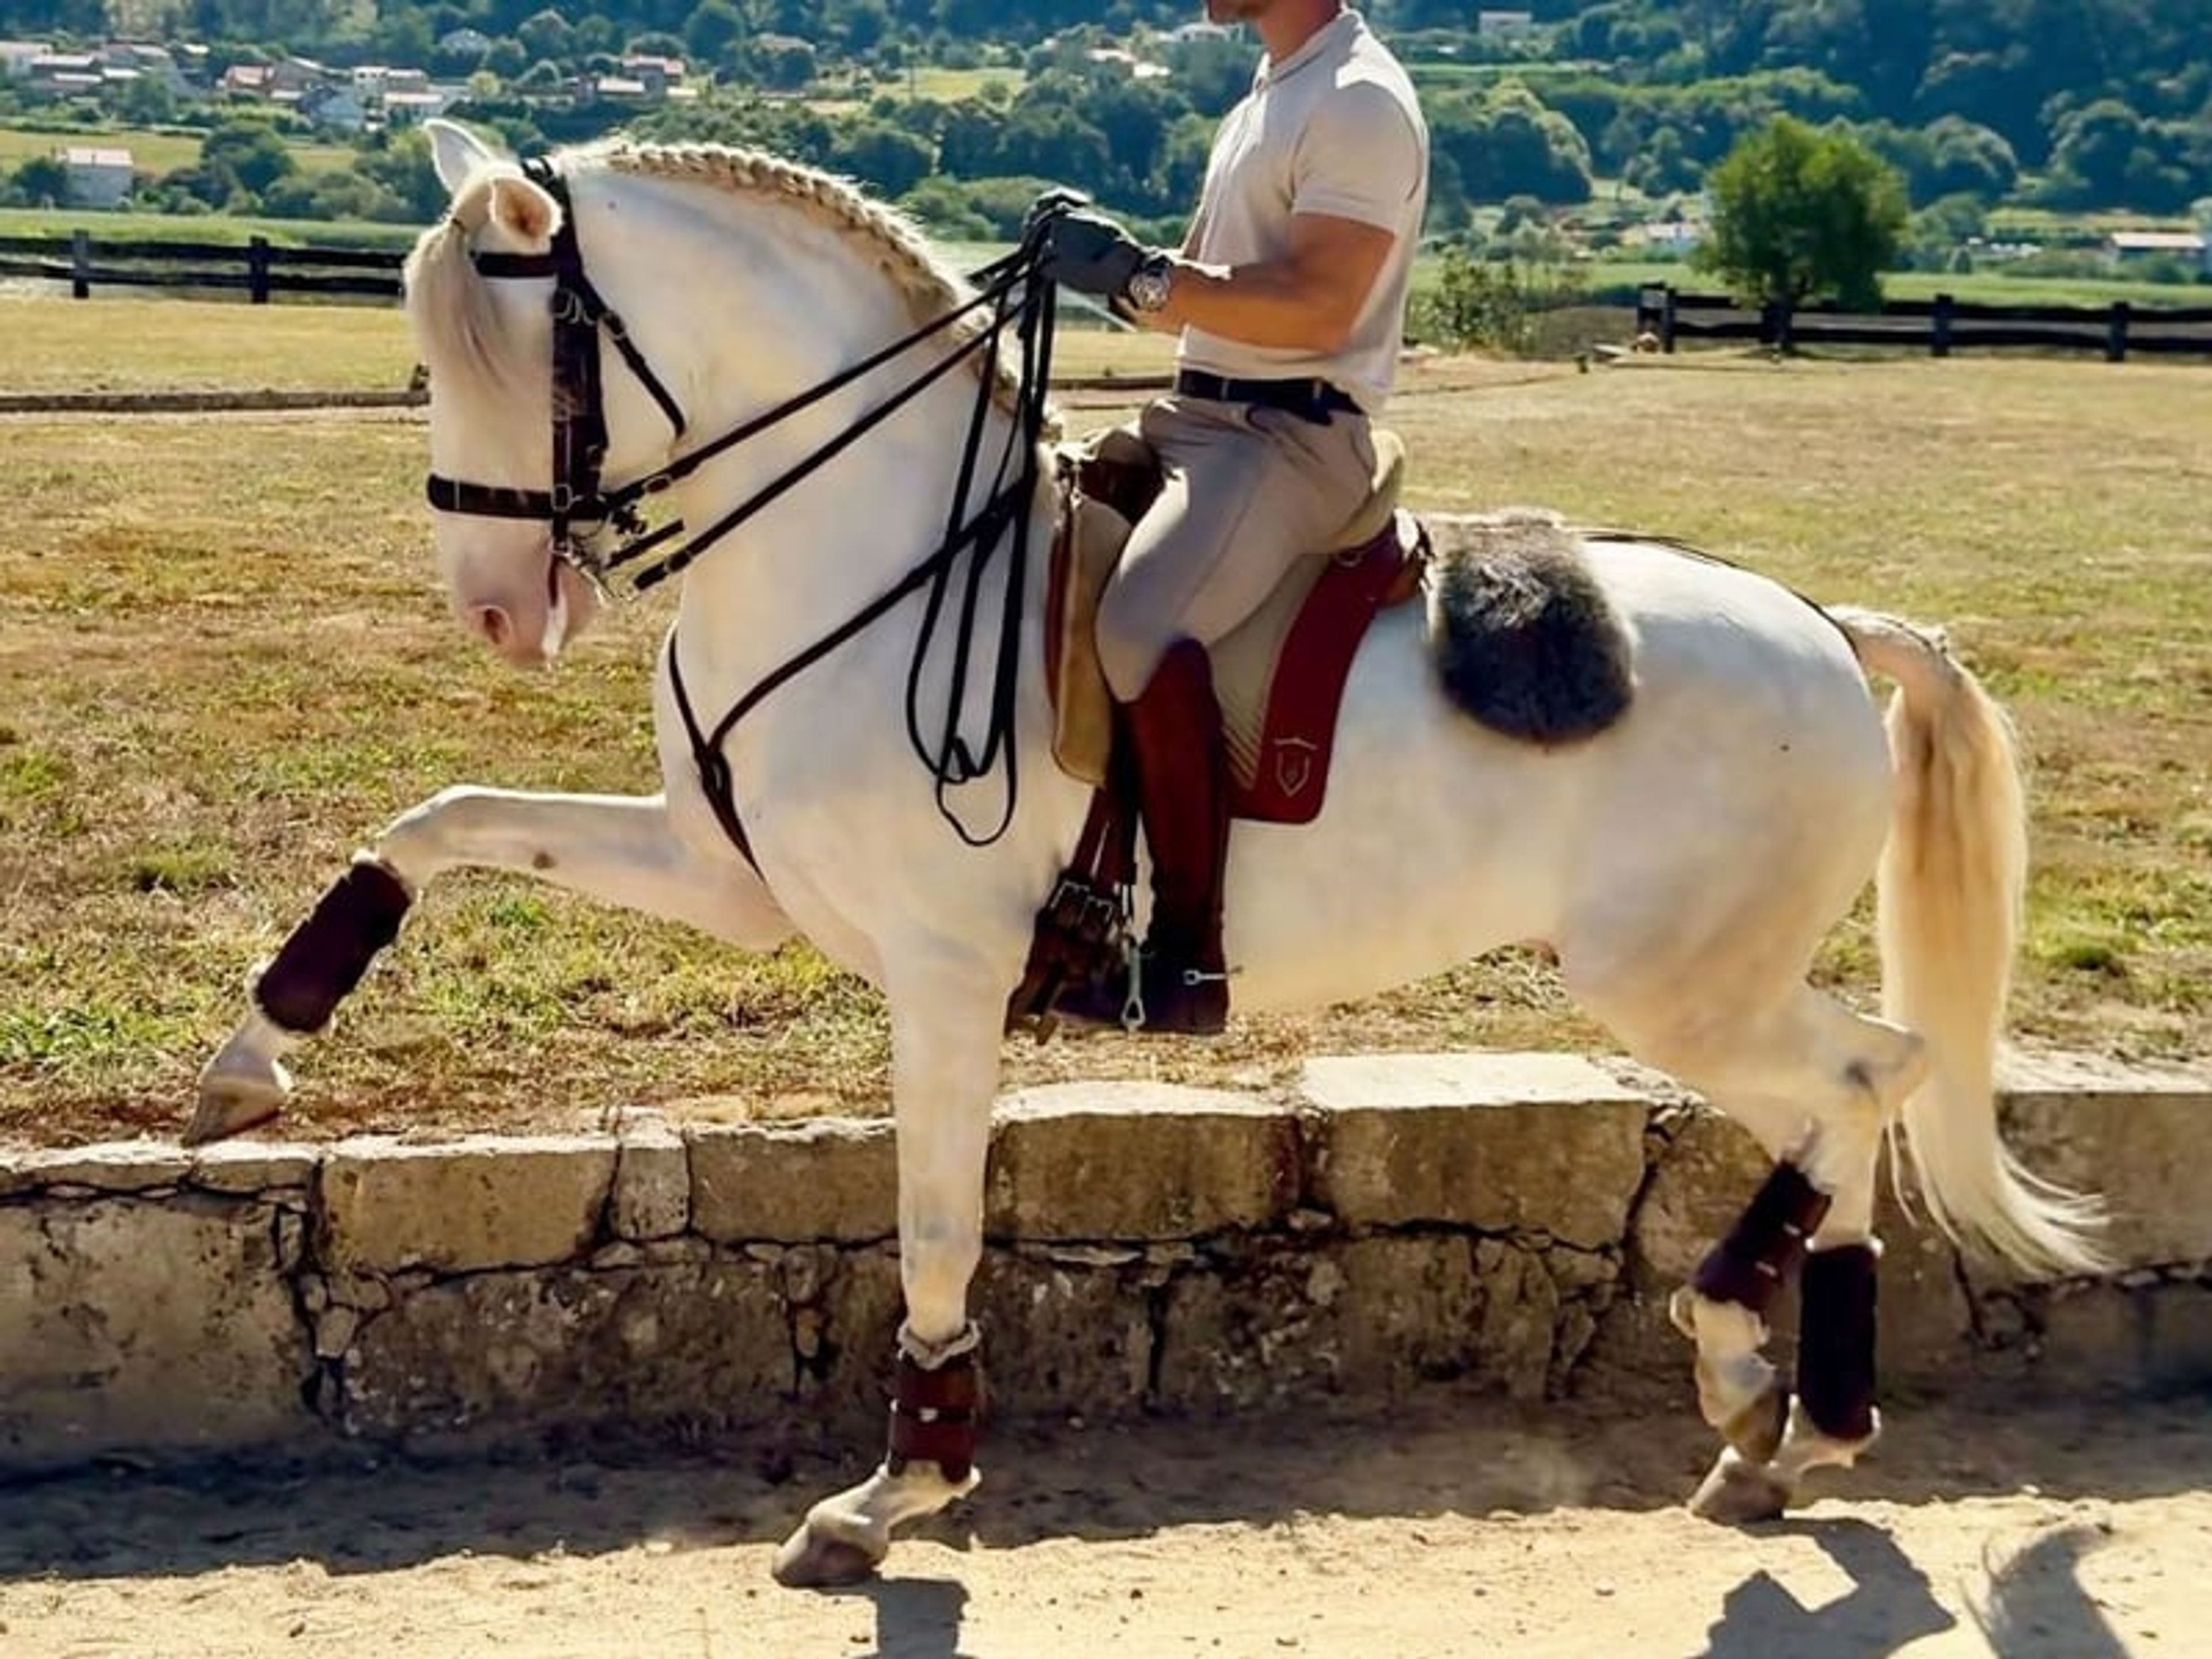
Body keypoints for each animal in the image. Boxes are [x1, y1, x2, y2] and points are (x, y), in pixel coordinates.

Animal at [190, 119, 2102, 1586]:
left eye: (514, 360)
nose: (497, 613)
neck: (868, 552)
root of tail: (1829, 629)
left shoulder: (943, 979)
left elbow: (936, 1231)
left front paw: (899, 1489)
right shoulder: (720, 874)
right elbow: (445, 825)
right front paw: (257, 1051)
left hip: (1673, 982)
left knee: (1862, 1080)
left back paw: (1756, 1372)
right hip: (1698, 982)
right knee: (1855, 1093)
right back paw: (1783, 1425)